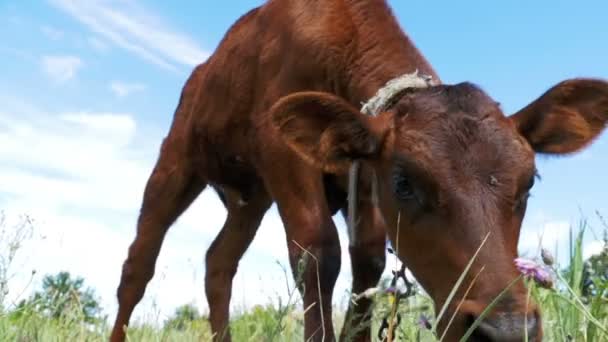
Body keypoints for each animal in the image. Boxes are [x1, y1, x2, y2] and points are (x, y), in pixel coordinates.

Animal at [109, 1, 608, 340]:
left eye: (528, 185)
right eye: (404, 183)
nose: (504, 330)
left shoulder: (362, 178)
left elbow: (367, 261)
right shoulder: (283, 153)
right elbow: (318, 253)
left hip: (251, 197)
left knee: (219, 262)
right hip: (176, 160)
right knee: (138, 264)